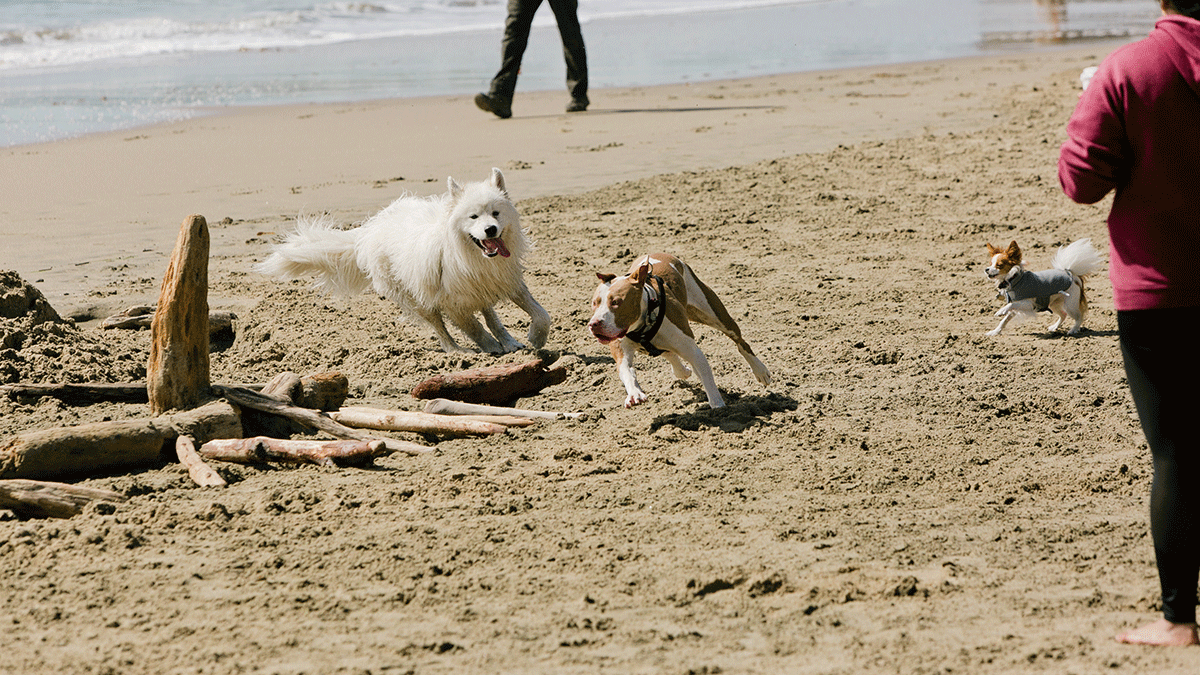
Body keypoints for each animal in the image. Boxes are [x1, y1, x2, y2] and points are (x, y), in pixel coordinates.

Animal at [258, 168, 552, 353]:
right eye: (474, 217)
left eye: (496, 213)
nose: (490, 230)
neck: (469, 253)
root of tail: (370, 231)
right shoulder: (451, 300)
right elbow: (474, 327)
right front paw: (490, 348)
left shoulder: (507, 281)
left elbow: (540, 313)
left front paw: (534, 339)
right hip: (416, 297)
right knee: (440, 327)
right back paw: (457, 351)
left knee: (490, 314)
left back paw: (508, 341)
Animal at [588, 252, 772, 408]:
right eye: (594, 303)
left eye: (616, 302)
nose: (594, 324)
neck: (644, 321)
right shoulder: (621, 351)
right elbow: (628, 372)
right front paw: (635, 394)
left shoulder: (691, 349)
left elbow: (707, 377)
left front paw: (718, 407)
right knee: (669, 354)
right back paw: (681, 371)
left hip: (714, 314)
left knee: (740, 342)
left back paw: (761, 371)